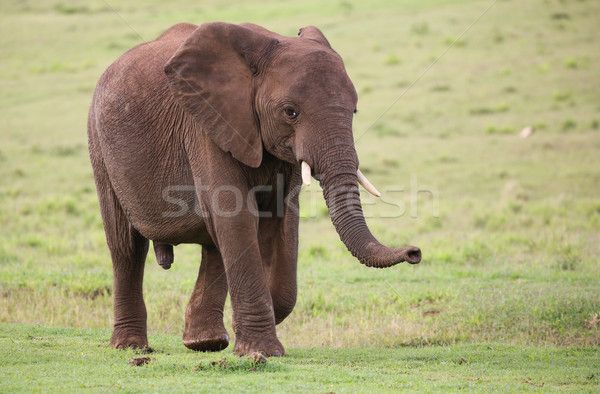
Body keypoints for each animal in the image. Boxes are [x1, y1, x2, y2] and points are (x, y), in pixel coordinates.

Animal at [88, 20, 422, 358]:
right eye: (290, 112)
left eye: (354, 111)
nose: (414, 252)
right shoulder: (206, 125)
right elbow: (234, 216)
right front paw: (259, 351)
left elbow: (281, 221)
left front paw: (249, 331)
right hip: (99, 143)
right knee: (126, 246)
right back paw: (131, 346)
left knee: (213, 245)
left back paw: (204, 342)